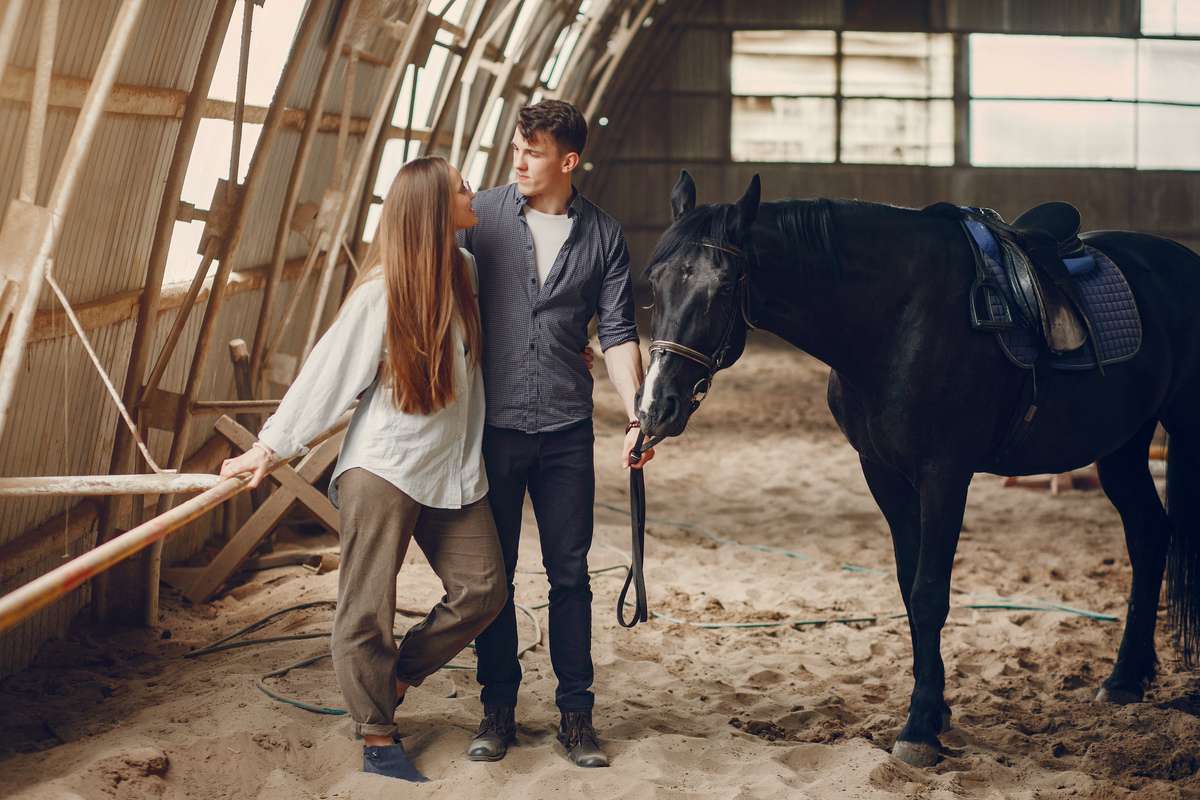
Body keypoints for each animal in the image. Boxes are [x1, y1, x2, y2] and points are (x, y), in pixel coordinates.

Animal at [643, 170, 1200, 767]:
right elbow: (909, 590)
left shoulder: (944, 475)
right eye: (653, 283)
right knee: (1148, 534)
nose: (657, 406)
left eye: (723, 288)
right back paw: (1125, 679)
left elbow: (930, 594)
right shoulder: (883, 474)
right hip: (1121, 444)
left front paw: (919, 731)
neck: (896, 319)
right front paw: (933, 709)